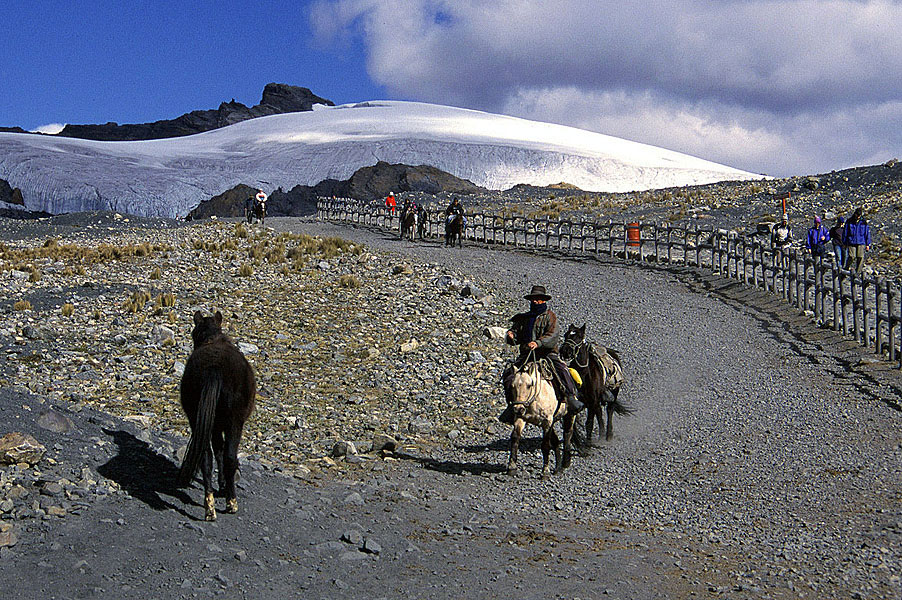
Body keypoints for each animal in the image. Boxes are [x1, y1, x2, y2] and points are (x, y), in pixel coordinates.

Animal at [177, 310, 256, 520]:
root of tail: (214, 368)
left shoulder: (212, 426)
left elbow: (216, 452)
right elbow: (223, 454)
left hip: (199, 418)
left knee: (206, 458)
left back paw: (210, 508)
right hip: (234, 423)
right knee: (229, 457)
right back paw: (231, 503)